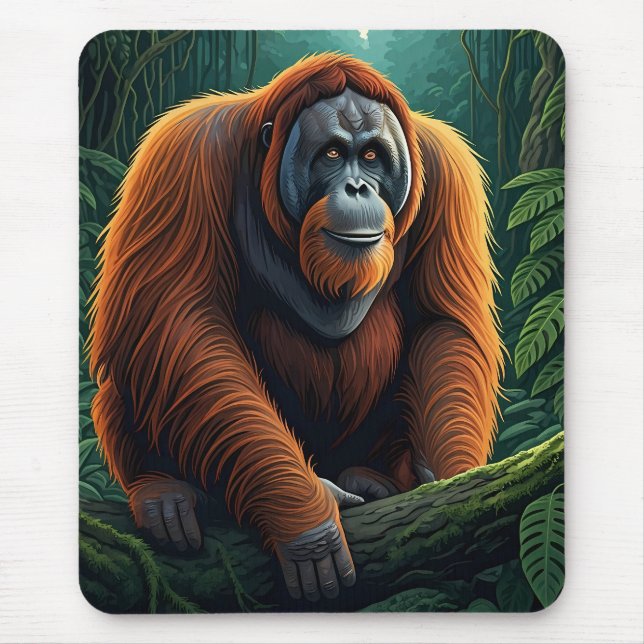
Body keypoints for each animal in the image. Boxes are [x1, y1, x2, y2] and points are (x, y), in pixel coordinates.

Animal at [88, 53, 503, 603]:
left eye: (372, 156)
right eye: (332, 153)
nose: (357, 187)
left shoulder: (446, 166)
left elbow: (444, 325)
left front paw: (457, 482)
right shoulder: (185, 154)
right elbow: (179, 323)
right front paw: (307, 521)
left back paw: (370, 479)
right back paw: (163, 491)